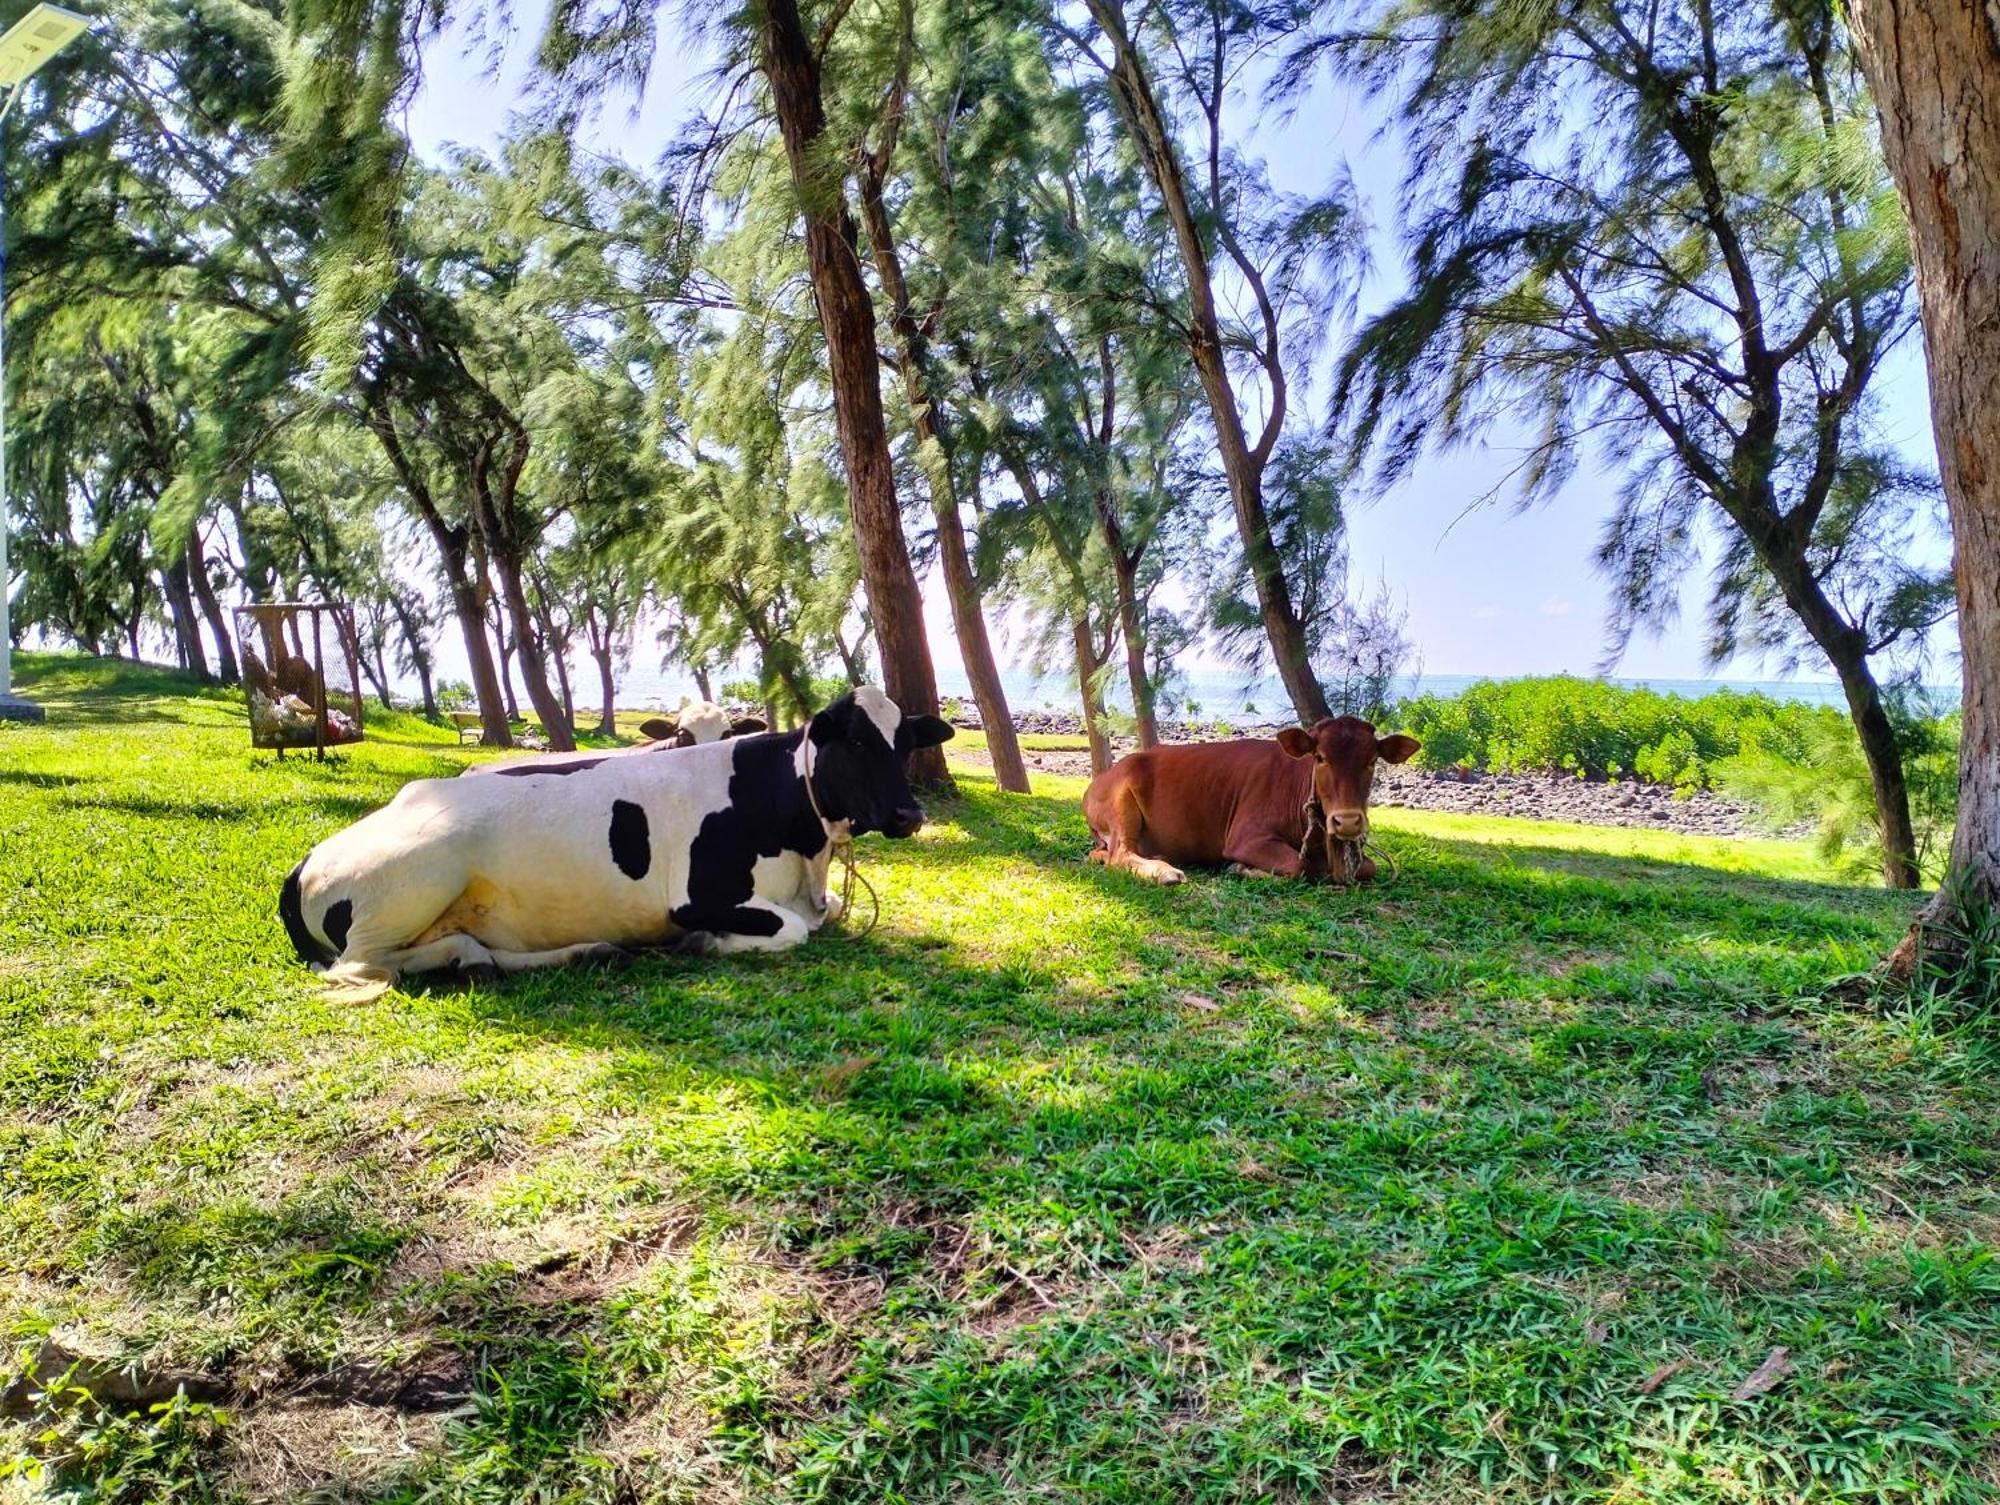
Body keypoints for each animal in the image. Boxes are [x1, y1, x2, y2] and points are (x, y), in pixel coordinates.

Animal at [276, 684, 952, 1000]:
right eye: (856, 742)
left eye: (904, 743)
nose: (909, 814)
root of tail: (309, 857)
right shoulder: (695, 897)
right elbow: (793, 929)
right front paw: (706, 942)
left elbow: (825, 913)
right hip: (423, 869)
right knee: (361, 966)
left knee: (474, 948)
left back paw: (572, 952)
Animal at [1080, 716, 1424, 880]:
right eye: (1320, 758)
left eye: (1372, 761)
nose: (1348, 821)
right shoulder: (1246, 837)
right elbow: (1297, 866)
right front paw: (1241, 868)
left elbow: (1369, 867)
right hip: (1120, 803)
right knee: (1121, 854)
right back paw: (1164, 872)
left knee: (1104, 853)